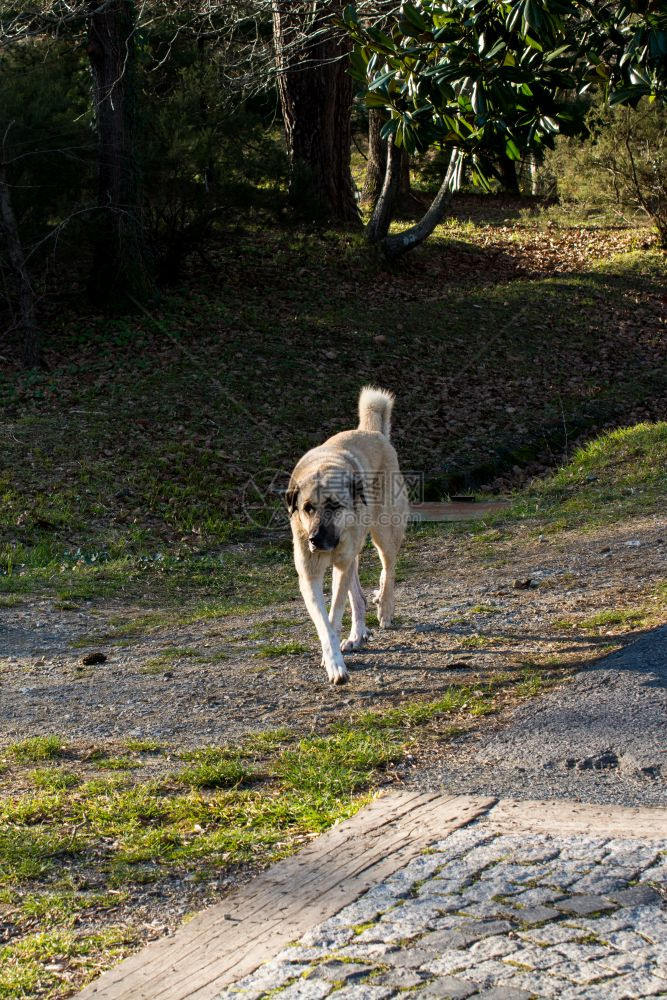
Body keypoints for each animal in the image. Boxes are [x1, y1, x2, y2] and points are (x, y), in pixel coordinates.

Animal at [286, 386, 410, 684]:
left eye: (334, 506)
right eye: (308, 508)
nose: (315, 540)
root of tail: (371, 432)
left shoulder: (340, 566)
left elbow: (334, 614)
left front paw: (333, 662)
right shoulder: (309, 576)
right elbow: (324, 622)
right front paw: (333, 660)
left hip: (384, 533)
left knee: (389, 568)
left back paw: (384, 606)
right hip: (353, 554)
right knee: (359, 597)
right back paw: (357, 633)